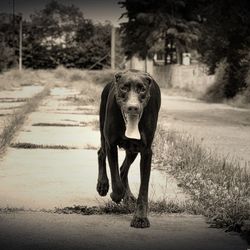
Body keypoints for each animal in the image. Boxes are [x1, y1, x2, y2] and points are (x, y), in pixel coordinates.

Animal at [96, 69, 161, 228]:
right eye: (124, 88)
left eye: (142, 89)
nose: (133, 107)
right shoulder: (111, 144)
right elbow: (116, 181)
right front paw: (115, 194)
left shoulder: (146, 152)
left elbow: (143, 189)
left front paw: (140, 218)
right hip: (103, 131)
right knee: (101, 153)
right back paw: (103, 185)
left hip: (133, 150)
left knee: (123, 169)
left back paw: (128, 196)